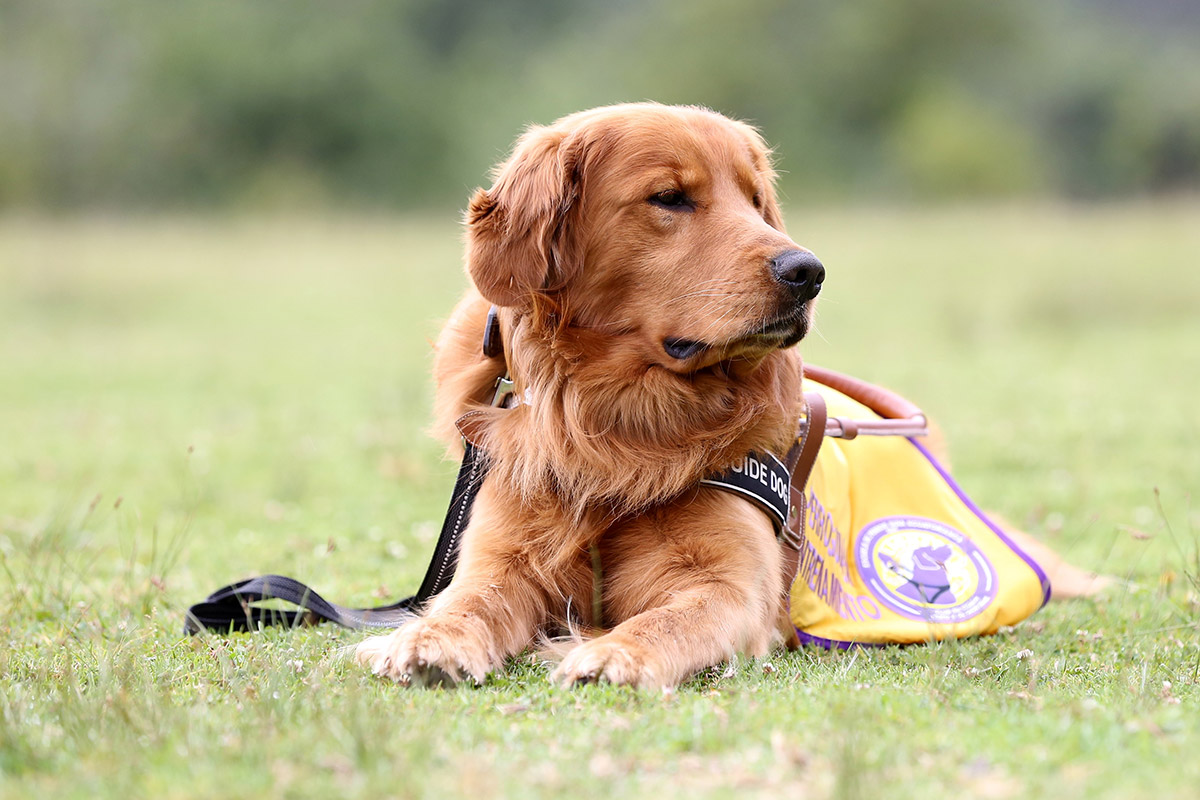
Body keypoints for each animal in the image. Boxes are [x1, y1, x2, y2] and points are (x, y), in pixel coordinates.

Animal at [352, 101, 1099, 690]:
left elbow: (667, 620)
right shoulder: (502, 558)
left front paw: (614, 653)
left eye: (755, 199)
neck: (617, 424)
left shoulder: (730, 586)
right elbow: (465, 603)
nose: (807, 271)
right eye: (670, 198)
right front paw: (423, 641)